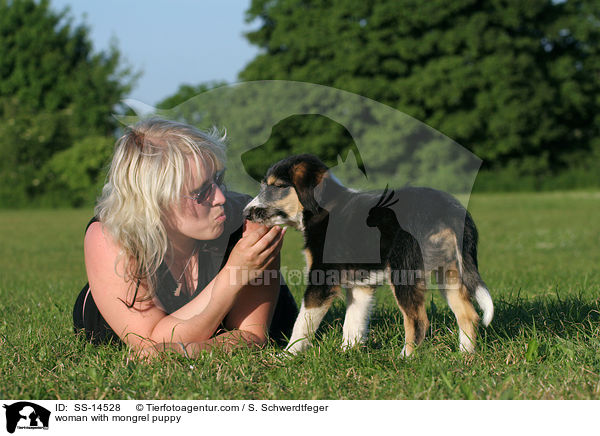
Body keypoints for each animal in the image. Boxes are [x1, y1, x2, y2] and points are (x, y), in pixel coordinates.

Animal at [243, 155, 492, 356]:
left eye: (277, 187)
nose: (246, 213)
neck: (323, 207)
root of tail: (450, 211)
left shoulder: (322, 278)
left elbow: (302, 323)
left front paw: (287, 356)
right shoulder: (360, 286)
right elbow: (353, 322)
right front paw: (348, 353)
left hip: (404, 271)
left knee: (418, 320)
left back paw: (404, 359)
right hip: (448, 272)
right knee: (468, 315)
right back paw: (464, 357)